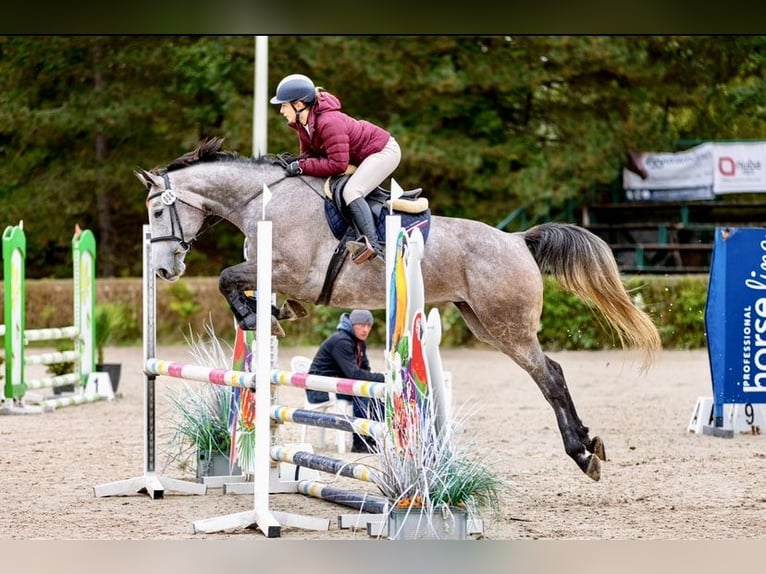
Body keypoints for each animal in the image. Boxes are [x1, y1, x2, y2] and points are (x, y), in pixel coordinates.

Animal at [136, 137, 661, 482]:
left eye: (159, 211)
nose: (164, 269)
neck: (264, 198)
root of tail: (517, 240)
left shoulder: (292, 272)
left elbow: (228, 277)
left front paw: (252, 317)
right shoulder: (280, 276)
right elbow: (247, 288)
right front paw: (273, 318)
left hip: (506, 325)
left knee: (549, 376)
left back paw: (582, 454)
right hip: (486, 324)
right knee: (550, 369)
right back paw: (588, 444)